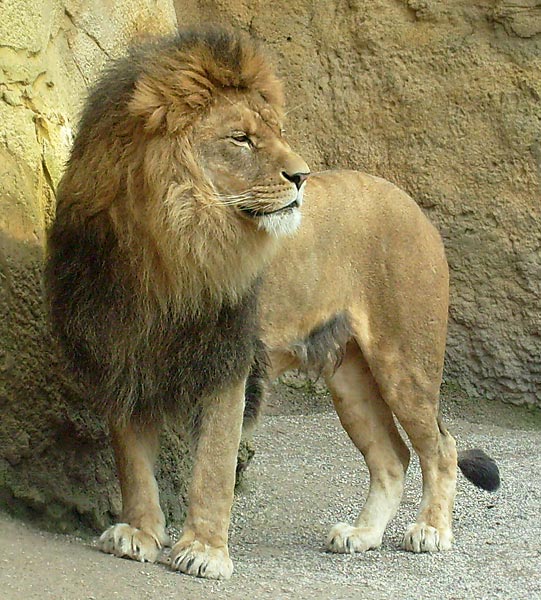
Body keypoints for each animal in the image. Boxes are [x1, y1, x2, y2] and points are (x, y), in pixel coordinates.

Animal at [46, 28, 498, 580]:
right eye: (241, 138)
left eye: (278, 130)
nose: (301, 176)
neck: (164, 245)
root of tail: (411, 202)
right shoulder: (121, 351)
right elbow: (132, 461)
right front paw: (139, 534)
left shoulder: (227, 357)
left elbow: (214, 464)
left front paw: (203, 550)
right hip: (350, 376)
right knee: (392, 456)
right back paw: (362, 535)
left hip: (405, 361)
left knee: (442, 448)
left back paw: (430, 530)